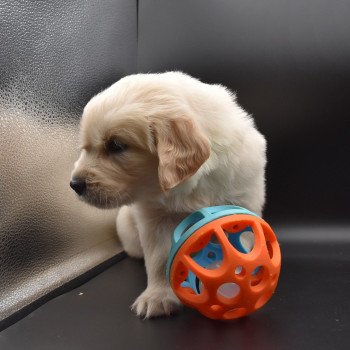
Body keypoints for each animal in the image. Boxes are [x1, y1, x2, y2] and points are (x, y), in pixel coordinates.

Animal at [72, 71, 268, 318]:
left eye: (116, 145)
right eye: (84, 148)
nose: (74, 184)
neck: (190, 186)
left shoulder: (244, 201)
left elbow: (244, 239)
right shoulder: (154, 218)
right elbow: (159, 258)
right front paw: (158, 297)